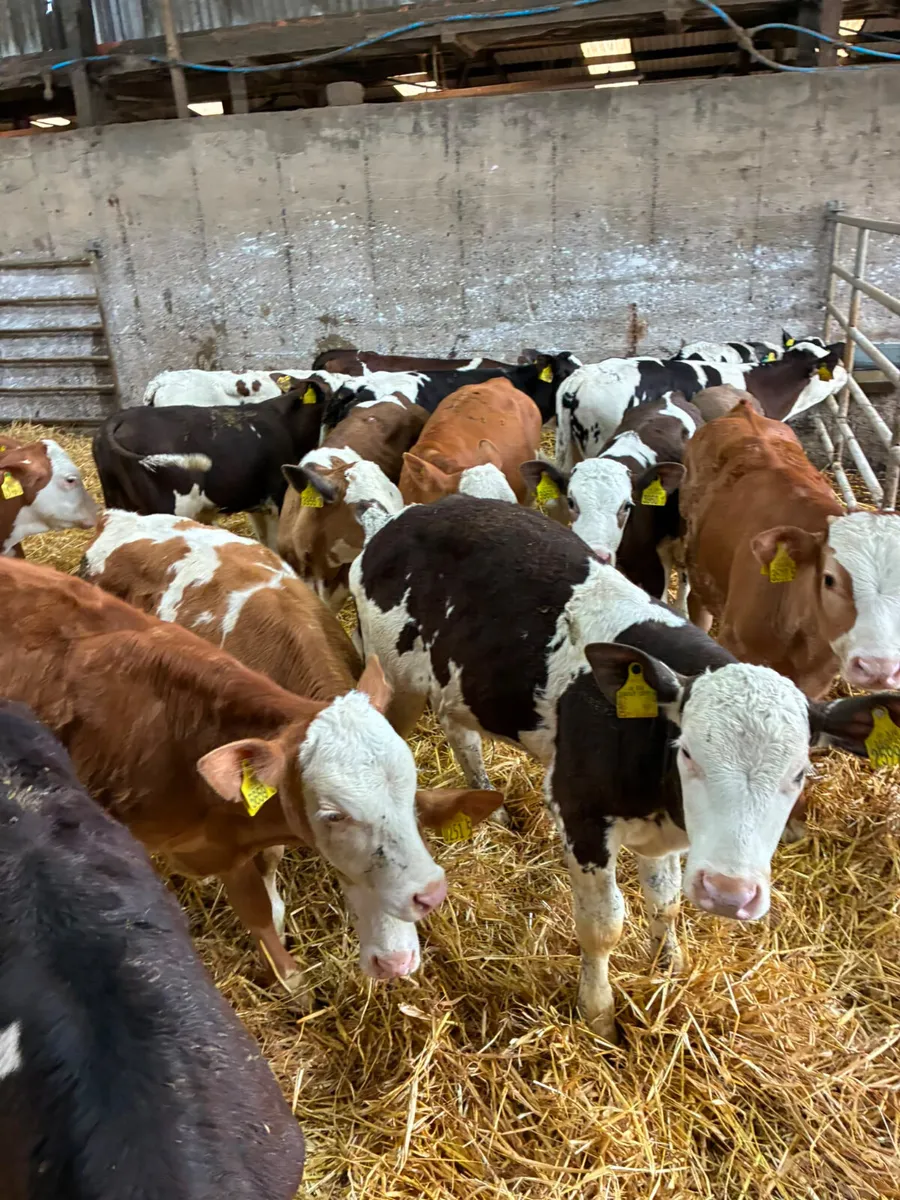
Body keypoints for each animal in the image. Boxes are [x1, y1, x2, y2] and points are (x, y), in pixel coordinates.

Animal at [349, 495, 900, 1039]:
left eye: (799, 773)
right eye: (688, 752)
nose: (728, 893)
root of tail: (408, 515)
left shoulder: (665, 835)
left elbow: (666, 901)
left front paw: (669, 966)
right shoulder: (580, 814)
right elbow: (602, 926)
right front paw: (599, 1013)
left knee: (461, 733)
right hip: (395, 678)